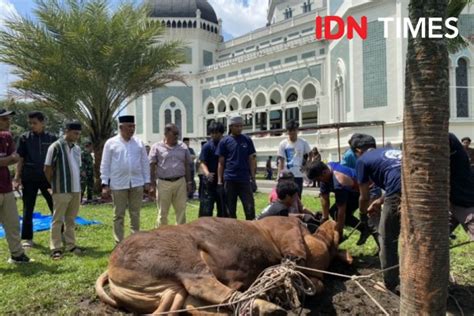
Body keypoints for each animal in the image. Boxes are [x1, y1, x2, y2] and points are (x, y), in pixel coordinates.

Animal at [95, 216, 352, 314]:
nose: (333, 222)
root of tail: (111, 266)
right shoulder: (285, 227)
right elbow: (294, 251)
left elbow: (318, 284)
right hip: (183, 257)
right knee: (206, 286)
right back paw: (270, 307)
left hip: (178, 290)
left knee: (197, 304)